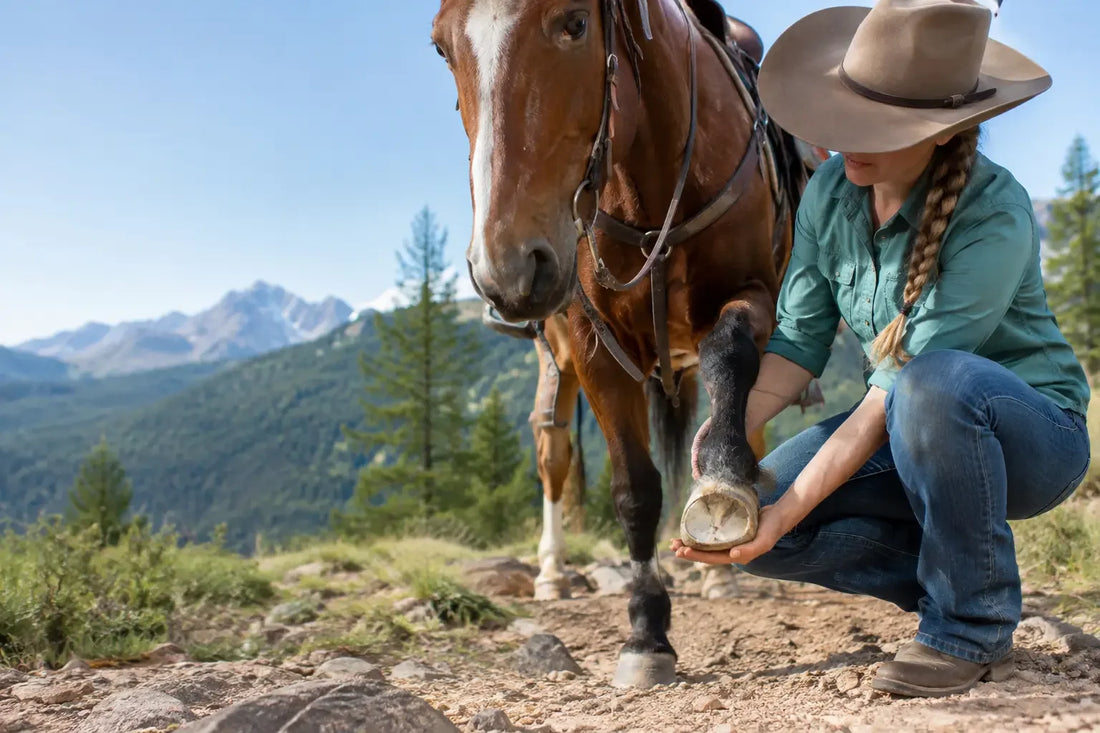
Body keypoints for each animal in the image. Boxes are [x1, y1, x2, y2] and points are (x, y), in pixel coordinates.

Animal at [432, 0, 815, 687]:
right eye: (443, 47)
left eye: (574, 23)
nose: (506, 267)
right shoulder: (592, 346)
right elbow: (634, 488)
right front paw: (646, 631)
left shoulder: (753, 297)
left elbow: (730, 364)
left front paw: (724, 492)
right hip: (559, 353)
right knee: (553, 447)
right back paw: (553, 573)